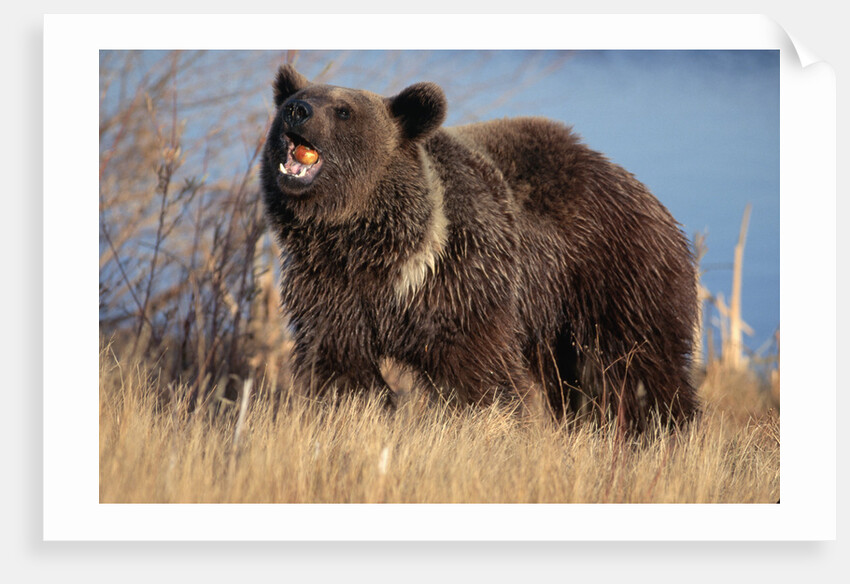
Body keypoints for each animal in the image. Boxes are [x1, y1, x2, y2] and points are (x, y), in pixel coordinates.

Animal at [260, 64, 699, 432]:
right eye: (297, 99)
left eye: (343, 111)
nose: (296, 110)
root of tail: (648, 195)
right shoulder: (331, 288)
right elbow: (341, 370)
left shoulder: (461, 279)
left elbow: (479, 374)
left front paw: (485, 427)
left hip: (616, 276)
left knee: (638, 366)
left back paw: (662, 429)